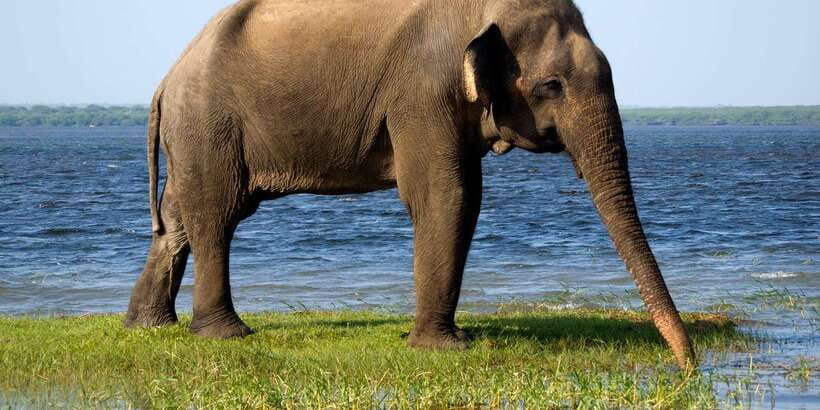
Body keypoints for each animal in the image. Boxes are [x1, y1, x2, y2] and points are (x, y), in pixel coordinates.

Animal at [124, 0, 696, 368]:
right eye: (552, 86)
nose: (687, 368)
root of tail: (166, 79)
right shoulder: (423, 88)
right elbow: (447, 194)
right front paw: (444, 349)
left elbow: (464, 196)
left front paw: (446, 340)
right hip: (208, 123)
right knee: (216, 215)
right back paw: (226, 333)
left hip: (195, 132)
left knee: (176, 220)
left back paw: (148, 327)